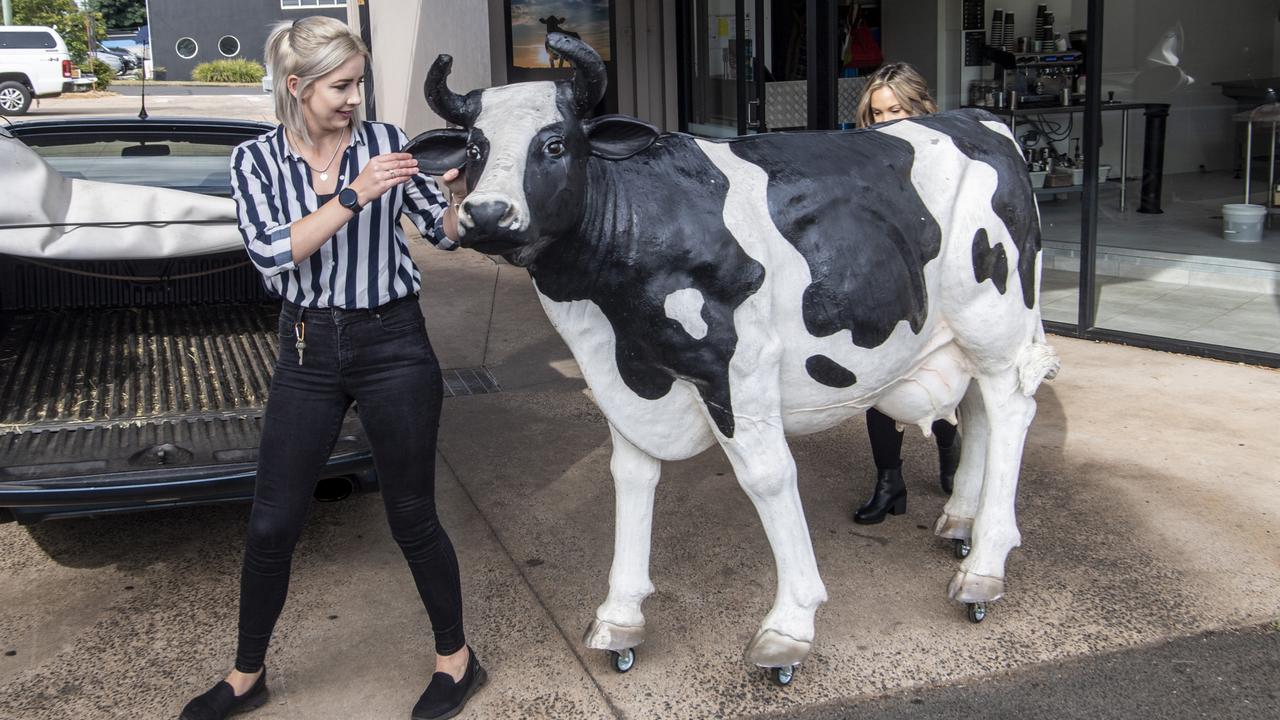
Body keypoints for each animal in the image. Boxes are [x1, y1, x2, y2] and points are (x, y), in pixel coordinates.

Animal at [409, 33, 1059, 671]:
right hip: (961, 337)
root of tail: (979, 118)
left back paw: (982, 571)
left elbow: (768, 476)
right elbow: (631, 476)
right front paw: (620, 617)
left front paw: (790, 626)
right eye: (474, 148)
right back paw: (961, 521)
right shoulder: (628, 374)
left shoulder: (737, 365)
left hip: (996, 324)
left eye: (553, 143)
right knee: (977, 411)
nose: (485, 214)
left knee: (1010, 410)